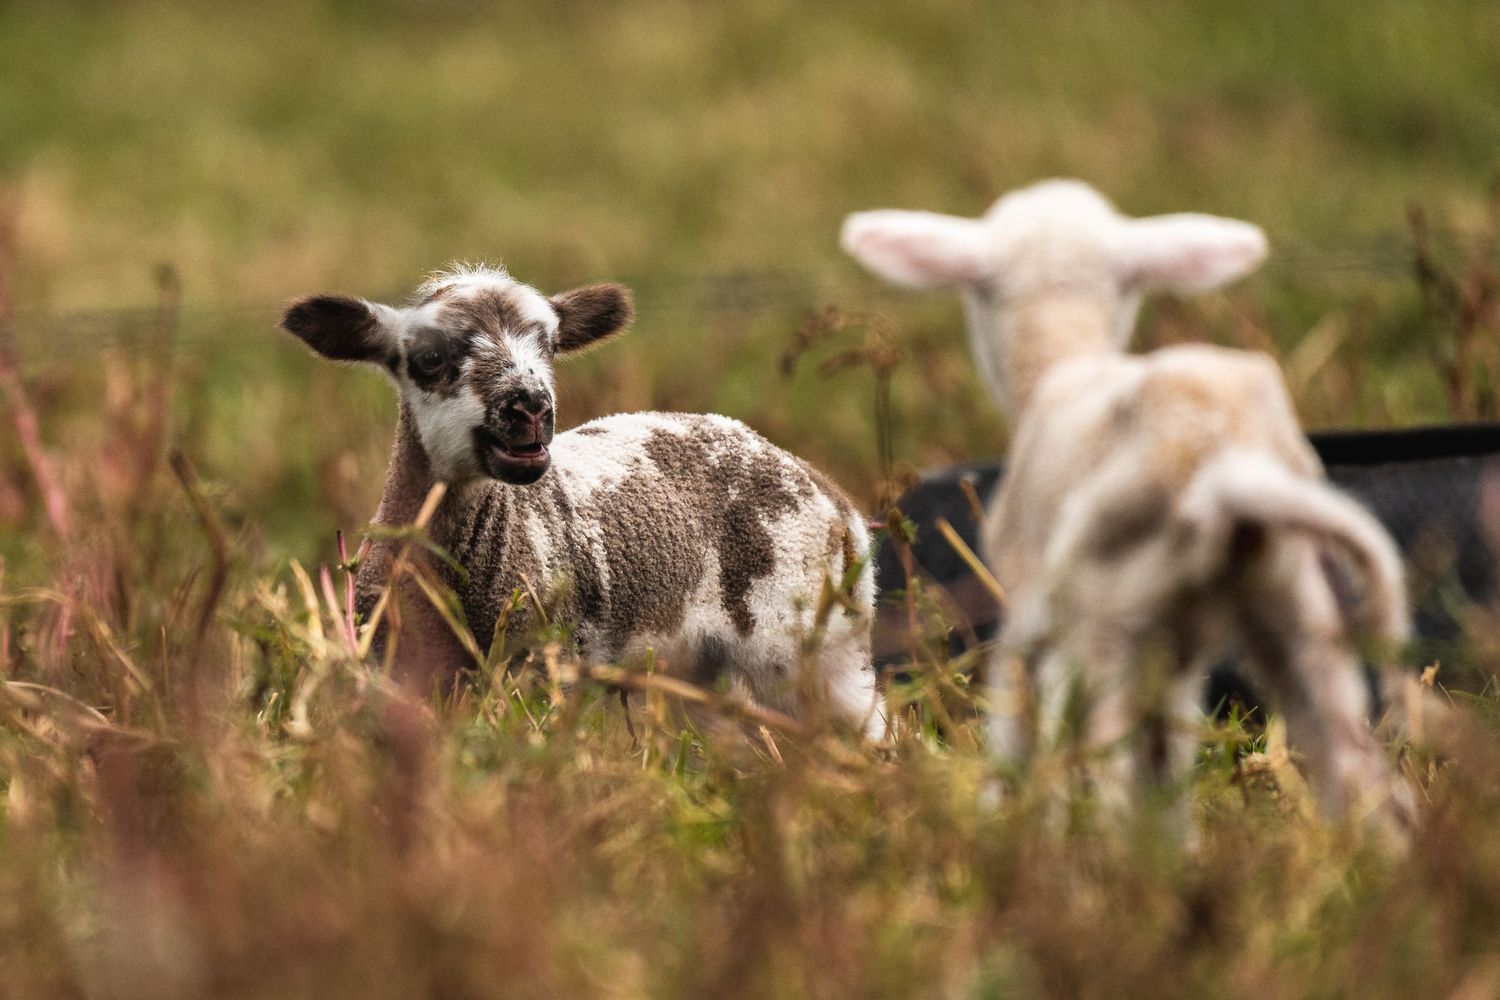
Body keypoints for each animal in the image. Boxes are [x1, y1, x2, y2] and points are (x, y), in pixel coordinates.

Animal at [281, 265, 884, 738]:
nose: (529, 406)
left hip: (817, 644)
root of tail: (831, 494)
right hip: (705, 673)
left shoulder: (538, 666)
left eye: (549, 347)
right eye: (429, 358)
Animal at [842, 180, 1415, 832]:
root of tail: (1224, 459)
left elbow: (1021, 735)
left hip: (1111, 617)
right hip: (1296, 610)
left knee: (1109, 775)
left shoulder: (1033, 612)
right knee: (1357, 771)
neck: (1062, 363)